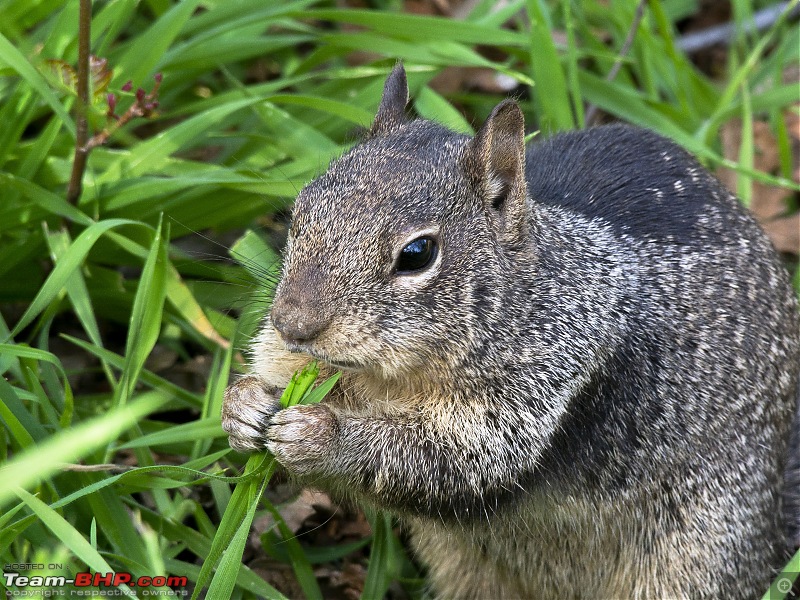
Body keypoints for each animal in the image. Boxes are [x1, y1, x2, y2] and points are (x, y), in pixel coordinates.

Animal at [222, 63, 800, 596]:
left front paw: (319, 435)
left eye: (418, 253)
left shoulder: (543, 391)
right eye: (300, 212)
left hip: (701, 557)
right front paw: (242, 405)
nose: (293, 324)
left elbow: (450, 466)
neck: (387, 378)